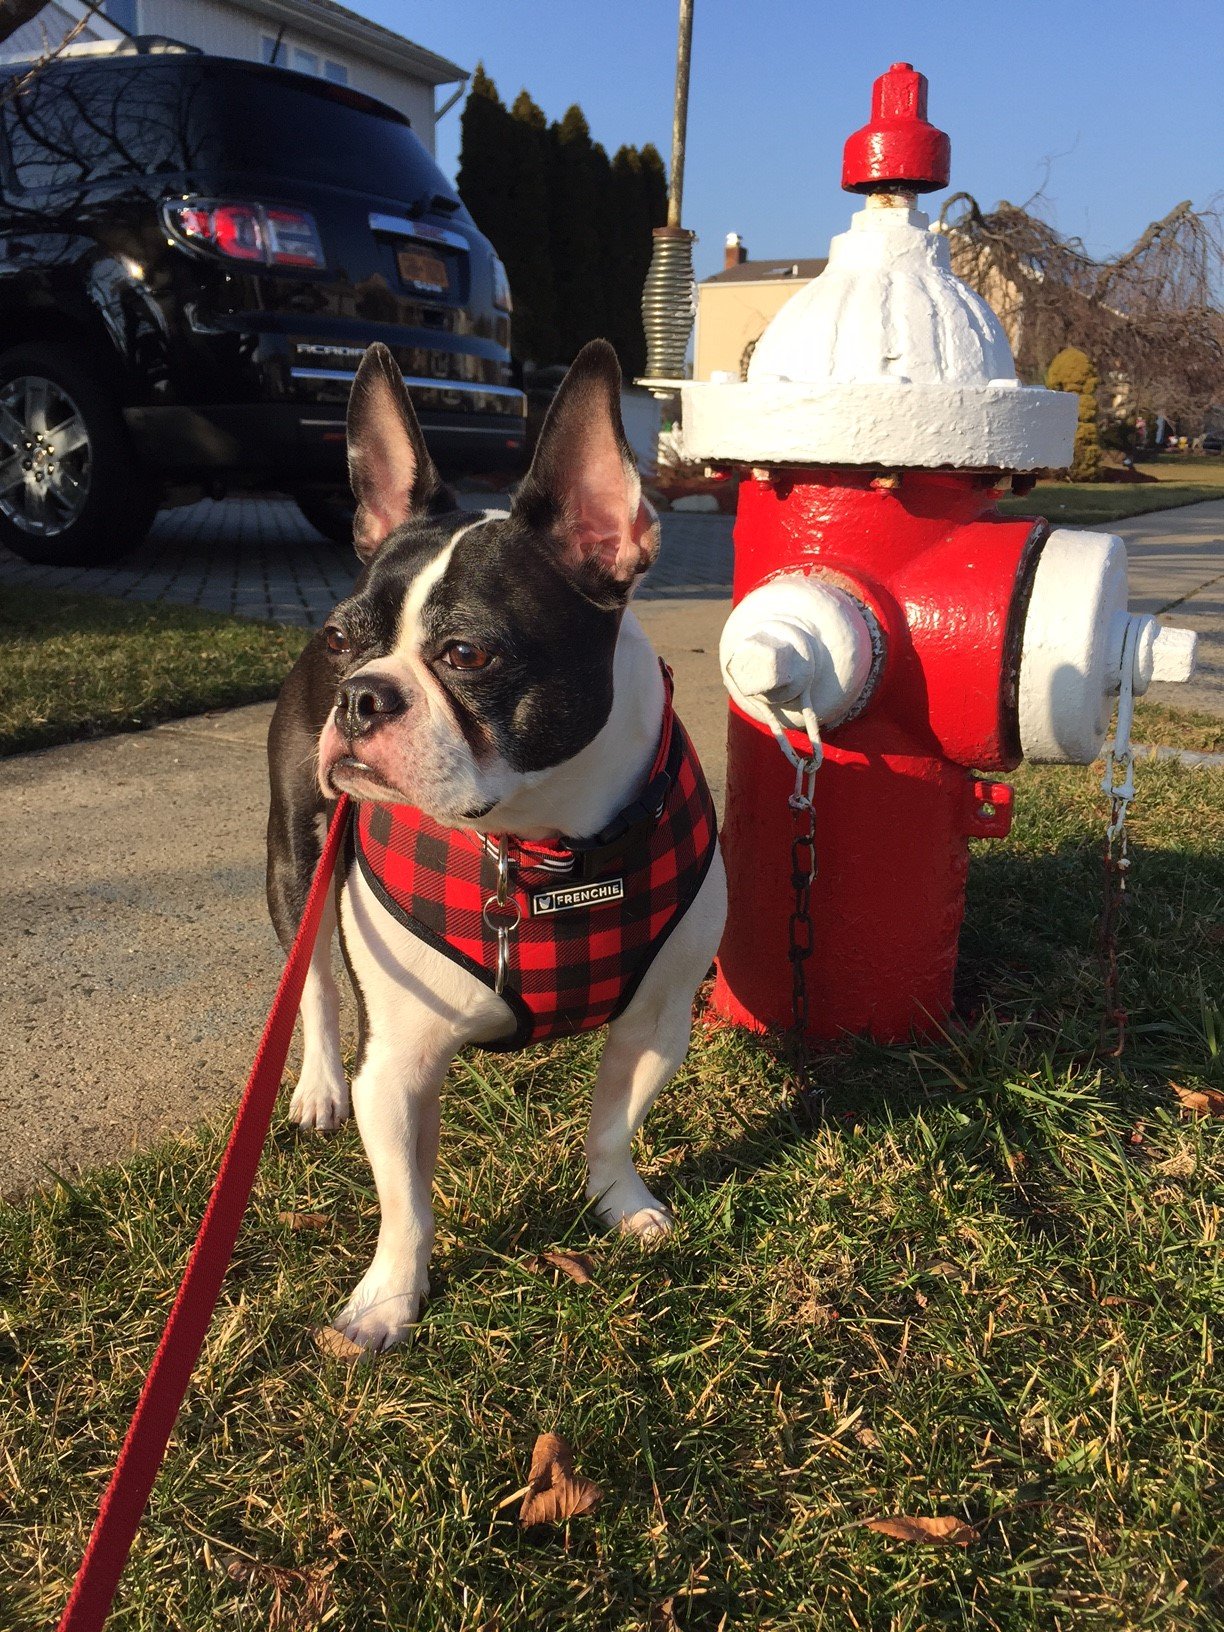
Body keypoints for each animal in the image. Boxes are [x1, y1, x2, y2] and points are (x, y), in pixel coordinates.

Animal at [267, 337, 724, 1344]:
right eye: (341, 638)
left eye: (467, 654)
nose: (358, 694)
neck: (539, 852)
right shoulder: (397, 1067)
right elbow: (407, 1201)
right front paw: (388, 1301)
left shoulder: (656, 1022)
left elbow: (613, 1124)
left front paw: (620, 1205)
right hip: (294, 862)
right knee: (310, 983)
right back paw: (315, 1086)